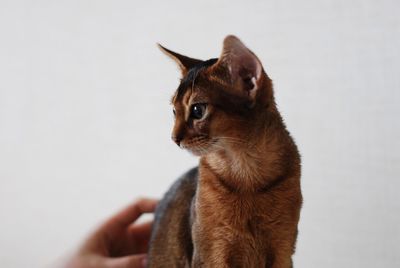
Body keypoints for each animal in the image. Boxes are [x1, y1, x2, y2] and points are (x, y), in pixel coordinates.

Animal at [148, 35, 302, 268]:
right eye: (174, 111)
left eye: (197, 110)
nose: (174, 139)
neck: (247, 175)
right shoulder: (213, 253)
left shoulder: (283, 250)